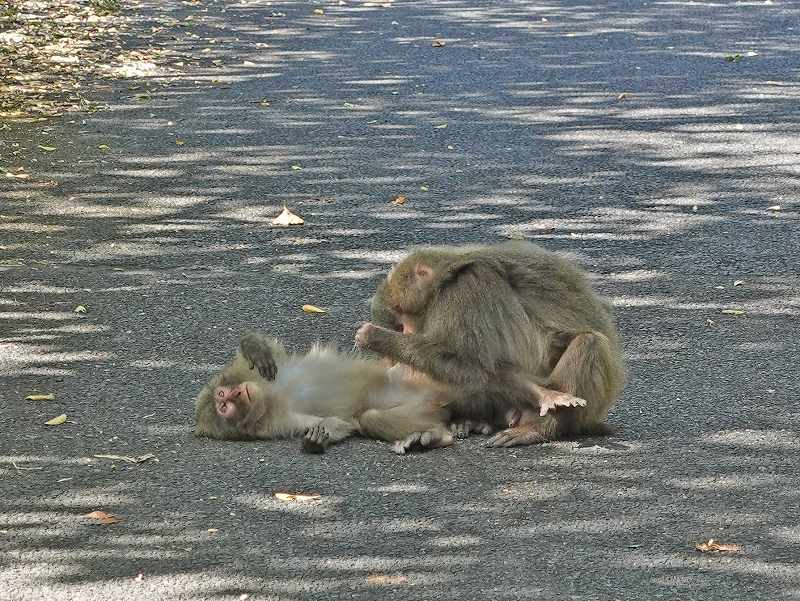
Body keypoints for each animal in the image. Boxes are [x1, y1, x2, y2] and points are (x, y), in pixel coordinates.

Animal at [194, 330, 456, 452]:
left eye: (222, 395)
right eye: (224, 406)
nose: (236, 394)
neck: (269, 397)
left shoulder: (250, 375)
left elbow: (272, 353)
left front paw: (254, 349)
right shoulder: (278, 422)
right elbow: (341, 423)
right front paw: (319, 437)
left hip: (411, 373)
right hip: (426, 403)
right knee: (370, 418)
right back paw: (433, 437)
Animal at [356, 240, 624, 446]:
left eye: (401, 313)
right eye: (397, 321)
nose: (406, 331)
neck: (447, 277)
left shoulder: (467, 289)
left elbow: (469, 363)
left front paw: (376, 338)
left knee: (589, 342)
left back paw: (542, 427)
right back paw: (472, 420)